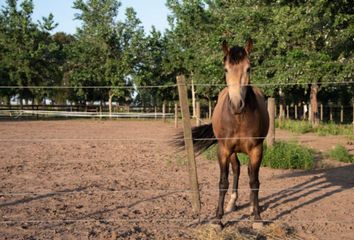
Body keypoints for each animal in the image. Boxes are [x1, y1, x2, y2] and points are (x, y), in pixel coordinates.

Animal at [176, 38, 270, 225]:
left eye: (248, 68)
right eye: (226, 69)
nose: (237, 104)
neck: (239, 119)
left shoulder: (257, 149)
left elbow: (254, 182)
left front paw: (257, 217)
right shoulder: (224, 150)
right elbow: (223, 182)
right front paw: (218, 218)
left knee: (249, 172)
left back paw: (250, 206)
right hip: (232, 152)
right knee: (237, 169)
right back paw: (232, 203)